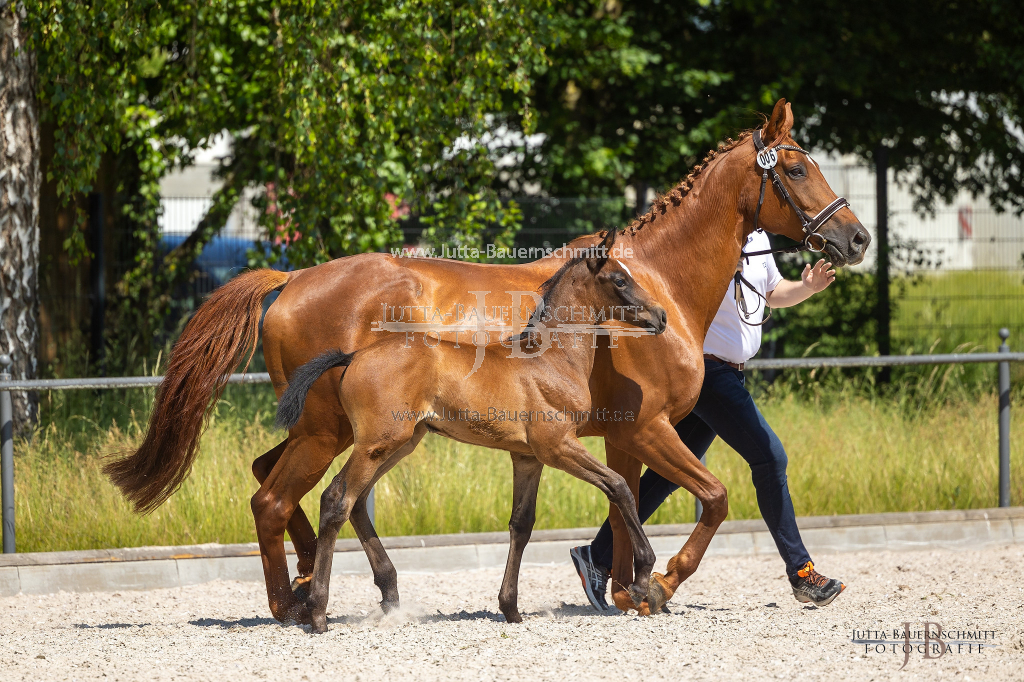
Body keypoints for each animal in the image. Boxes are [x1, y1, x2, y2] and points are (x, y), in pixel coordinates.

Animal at [276, 229, 667, 630]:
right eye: (619, 279)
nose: (661, 315)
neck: (550, 360)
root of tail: (354, 356)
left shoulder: (528, 458)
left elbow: (521, 524)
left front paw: (510, 608)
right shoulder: (558, 447)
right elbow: (619, 487)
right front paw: (642, 579)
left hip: (399, 444)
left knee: (355, 503)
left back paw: (389, 600)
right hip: (378, 443)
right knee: (336, 499)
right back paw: (318, 612)